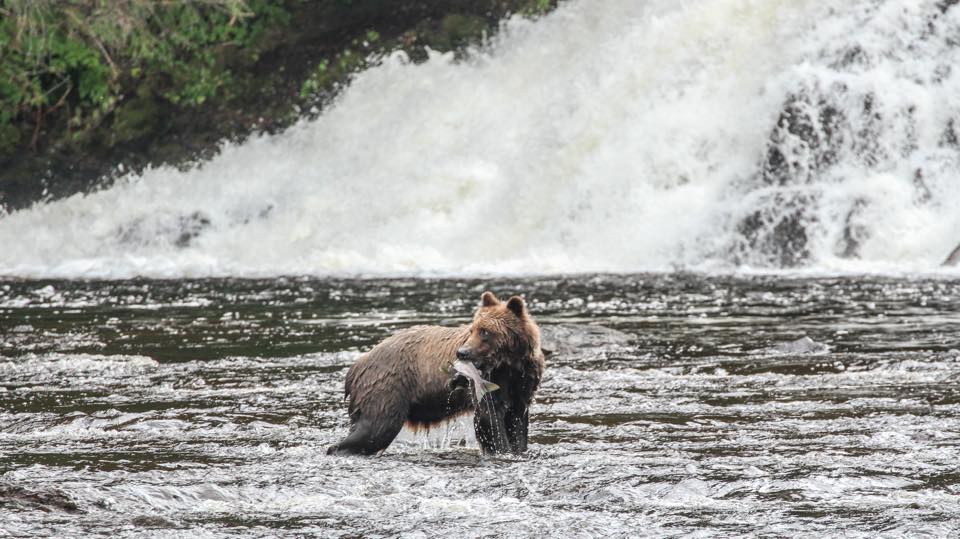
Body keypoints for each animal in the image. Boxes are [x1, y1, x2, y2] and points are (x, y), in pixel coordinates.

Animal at [326, 292, 544, 456]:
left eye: (485, 332)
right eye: (473, 329)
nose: (462, 352)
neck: (509, 364)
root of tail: (357, 364)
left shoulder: (522, 382)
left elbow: (517, 420)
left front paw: (519, 449)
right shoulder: (488, 383)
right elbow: (490, 419)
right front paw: (502, 449)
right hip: (385, 389)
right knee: (373, 429)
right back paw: (338, 449)